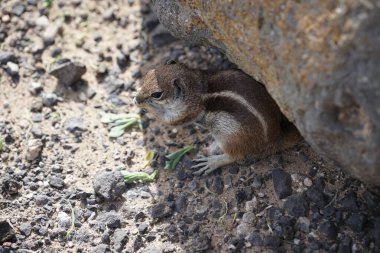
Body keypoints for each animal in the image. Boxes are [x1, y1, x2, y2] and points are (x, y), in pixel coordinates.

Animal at [135, 61, 302, 176]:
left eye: (157, 94)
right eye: (148, 74)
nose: (137, 98)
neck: (194, 84)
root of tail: (275, 139)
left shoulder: (186, 111)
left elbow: (169, 121)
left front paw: (146, 107)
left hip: (230, 134)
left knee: (235, 155)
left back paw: (211, 162)